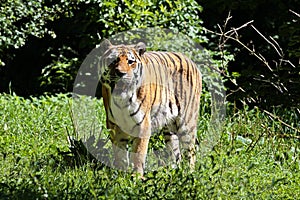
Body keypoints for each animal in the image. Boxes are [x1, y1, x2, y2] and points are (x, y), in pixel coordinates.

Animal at [99, 39, 203, 175]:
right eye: (112, 61)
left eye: (130, 61)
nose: (121, 73)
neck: (122, 100)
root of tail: (191, 61)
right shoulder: (114, 125)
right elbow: (119, 154)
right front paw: (121, 174)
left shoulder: (142, 125)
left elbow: (138, 153)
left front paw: (136, 176)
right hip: (169, 127)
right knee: (176, 153)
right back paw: (174, 172)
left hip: (186, 121)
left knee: (190, 150)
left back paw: (189, 174)